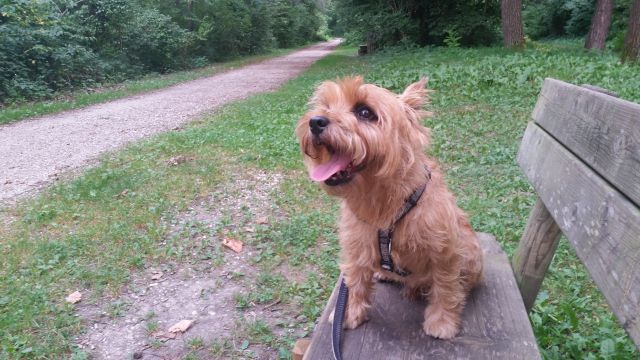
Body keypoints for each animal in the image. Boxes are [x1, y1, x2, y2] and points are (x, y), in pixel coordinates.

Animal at [296, 76, 480, 338]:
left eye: (365, 112)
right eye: (326, 105)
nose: (315, 121)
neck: (383, 204)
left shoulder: (445, 251)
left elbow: (445, 285)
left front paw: (442, 323)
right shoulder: (357, 246)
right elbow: (356, 281)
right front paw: (350, 314)